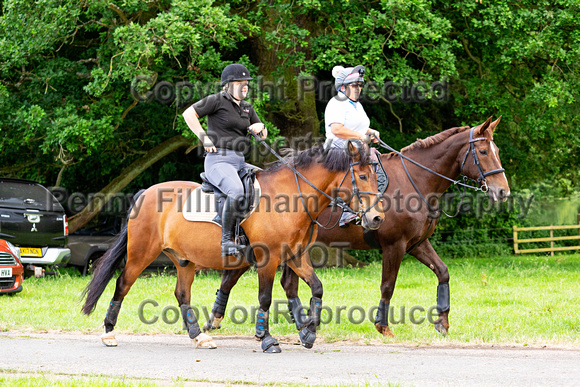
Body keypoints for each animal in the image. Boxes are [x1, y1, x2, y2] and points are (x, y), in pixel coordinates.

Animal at [79, 143, 382, 354]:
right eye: (362, 176)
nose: (377, 218)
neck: (291, 197)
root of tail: (146, 192)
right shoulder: (268, 259)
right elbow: (265, 298)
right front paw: (267, 339)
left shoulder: (295, 256)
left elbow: (317, 287)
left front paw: (308, 333)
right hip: (141, 254)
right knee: (122, 283)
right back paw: (109, 333)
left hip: (184, 260)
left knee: (182, 293)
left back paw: (199, 336)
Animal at [203, 116, 508, 342]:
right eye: (483, 151)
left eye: (497, 151)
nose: (502, 191)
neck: (416, 180)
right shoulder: (395, 245)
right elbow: (388, 285)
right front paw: (383, 326)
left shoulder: (417, 244)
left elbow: (443, 272)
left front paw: (442, 322)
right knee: (234, 279)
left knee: (283, 284)